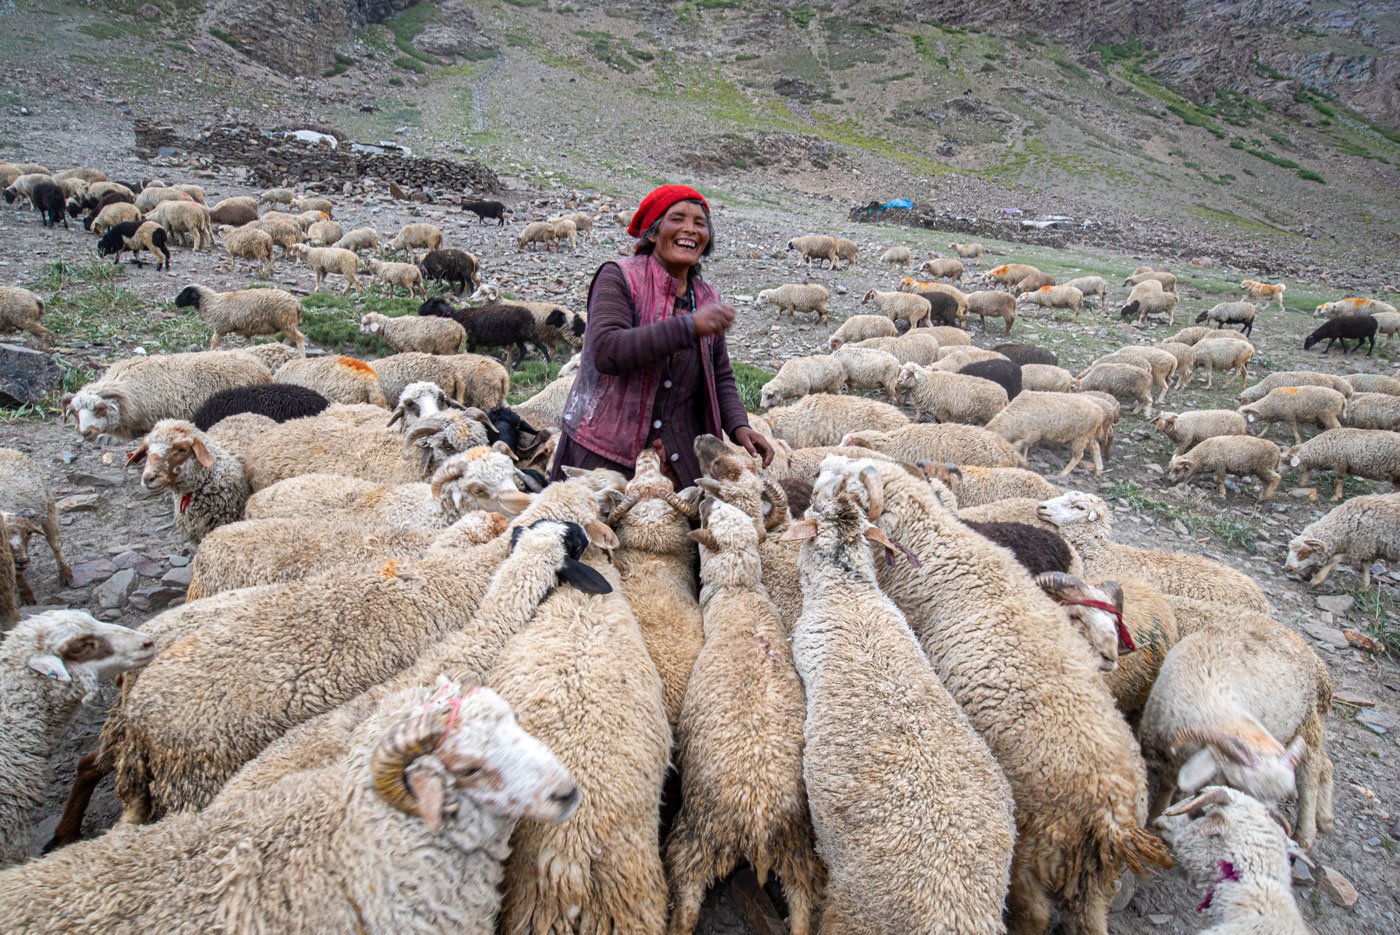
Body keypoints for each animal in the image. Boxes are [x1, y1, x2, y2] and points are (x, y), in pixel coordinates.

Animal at [417, 295, 548, 369]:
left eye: (431, 303)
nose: (419, 310)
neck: (455, 316)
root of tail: (531, 316)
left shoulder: (473, 340)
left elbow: (471, 353)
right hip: (518, 337)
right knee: (523, 350)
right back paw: (515, 366)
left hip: (529, 333)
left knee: (542, 347)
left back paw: (549, 363)